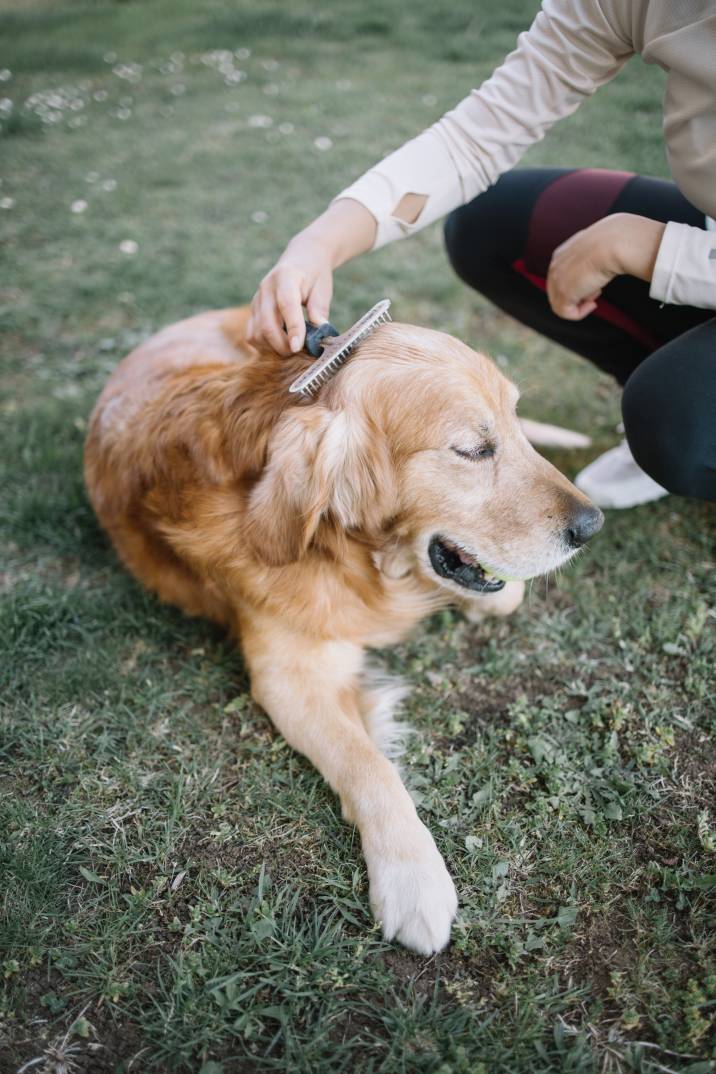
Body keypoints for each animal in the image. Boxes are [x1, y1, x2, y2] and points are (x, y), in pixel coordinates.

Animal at [85, 309, 605, 958]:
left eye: (511, 423)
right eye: (472, 450)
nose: (592, 525)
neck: (348, 553)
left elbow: (501, 594)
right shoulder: (287, 678)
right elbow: (368, 764)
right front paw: (414, 879)